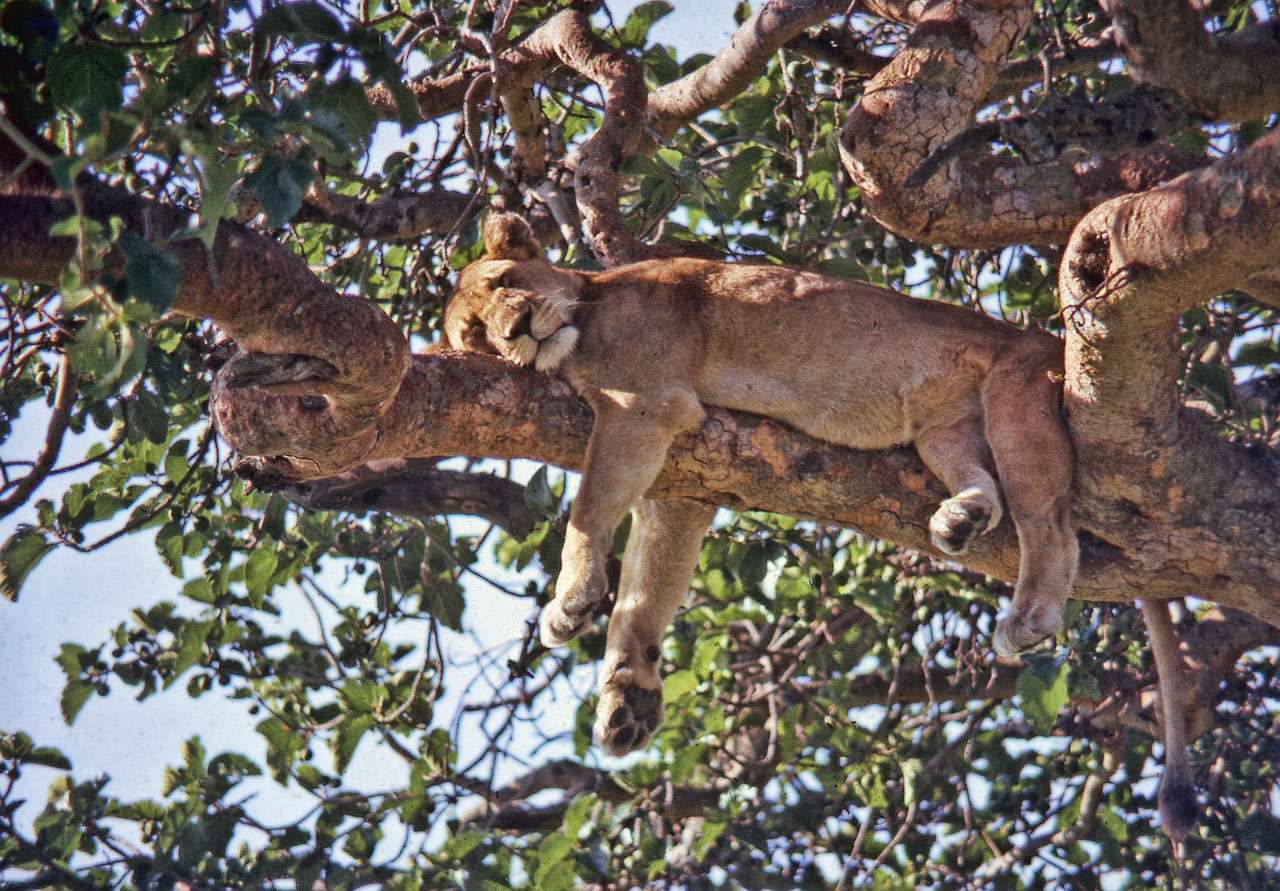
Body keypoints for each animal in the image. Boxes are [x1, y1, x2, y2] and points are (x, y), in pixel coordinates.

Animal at [444, 214, 1079, 757]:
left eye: (505, 281)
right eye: (475, 333)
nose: (515, 328)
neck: (588, 305)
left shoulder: (642, 405)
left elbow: (587, 512)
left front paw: (570, 600)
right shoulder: (677, 486)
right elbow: (644, 591)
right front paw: (630, 695)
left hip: (1016, 393)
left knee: (1051, 525)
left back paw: (1028, 619)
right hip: (942, 432)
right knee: (982, 481)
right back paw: (961, 517)